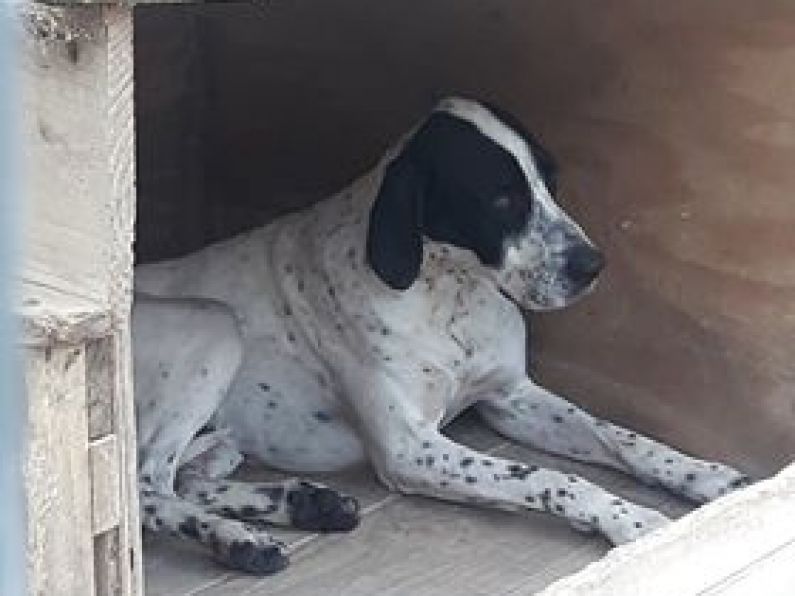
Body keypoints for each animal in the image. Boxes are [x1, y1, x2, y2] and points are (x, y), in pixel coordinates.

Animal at [132, 98, 752, 572]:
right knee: (146, 488)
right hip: (215, 323)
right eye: (501, 197)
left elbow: (624, 438)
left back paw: (302, 506)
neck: (451, 295)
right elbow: (554, 479)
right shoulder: (411, 449)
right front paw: (633, 519)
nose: (592, 265)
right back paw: (237, 541)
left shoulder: (510, 399)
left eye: (550, 181)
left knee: (188, 480)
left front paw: (708, 477)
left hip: (223, 435)